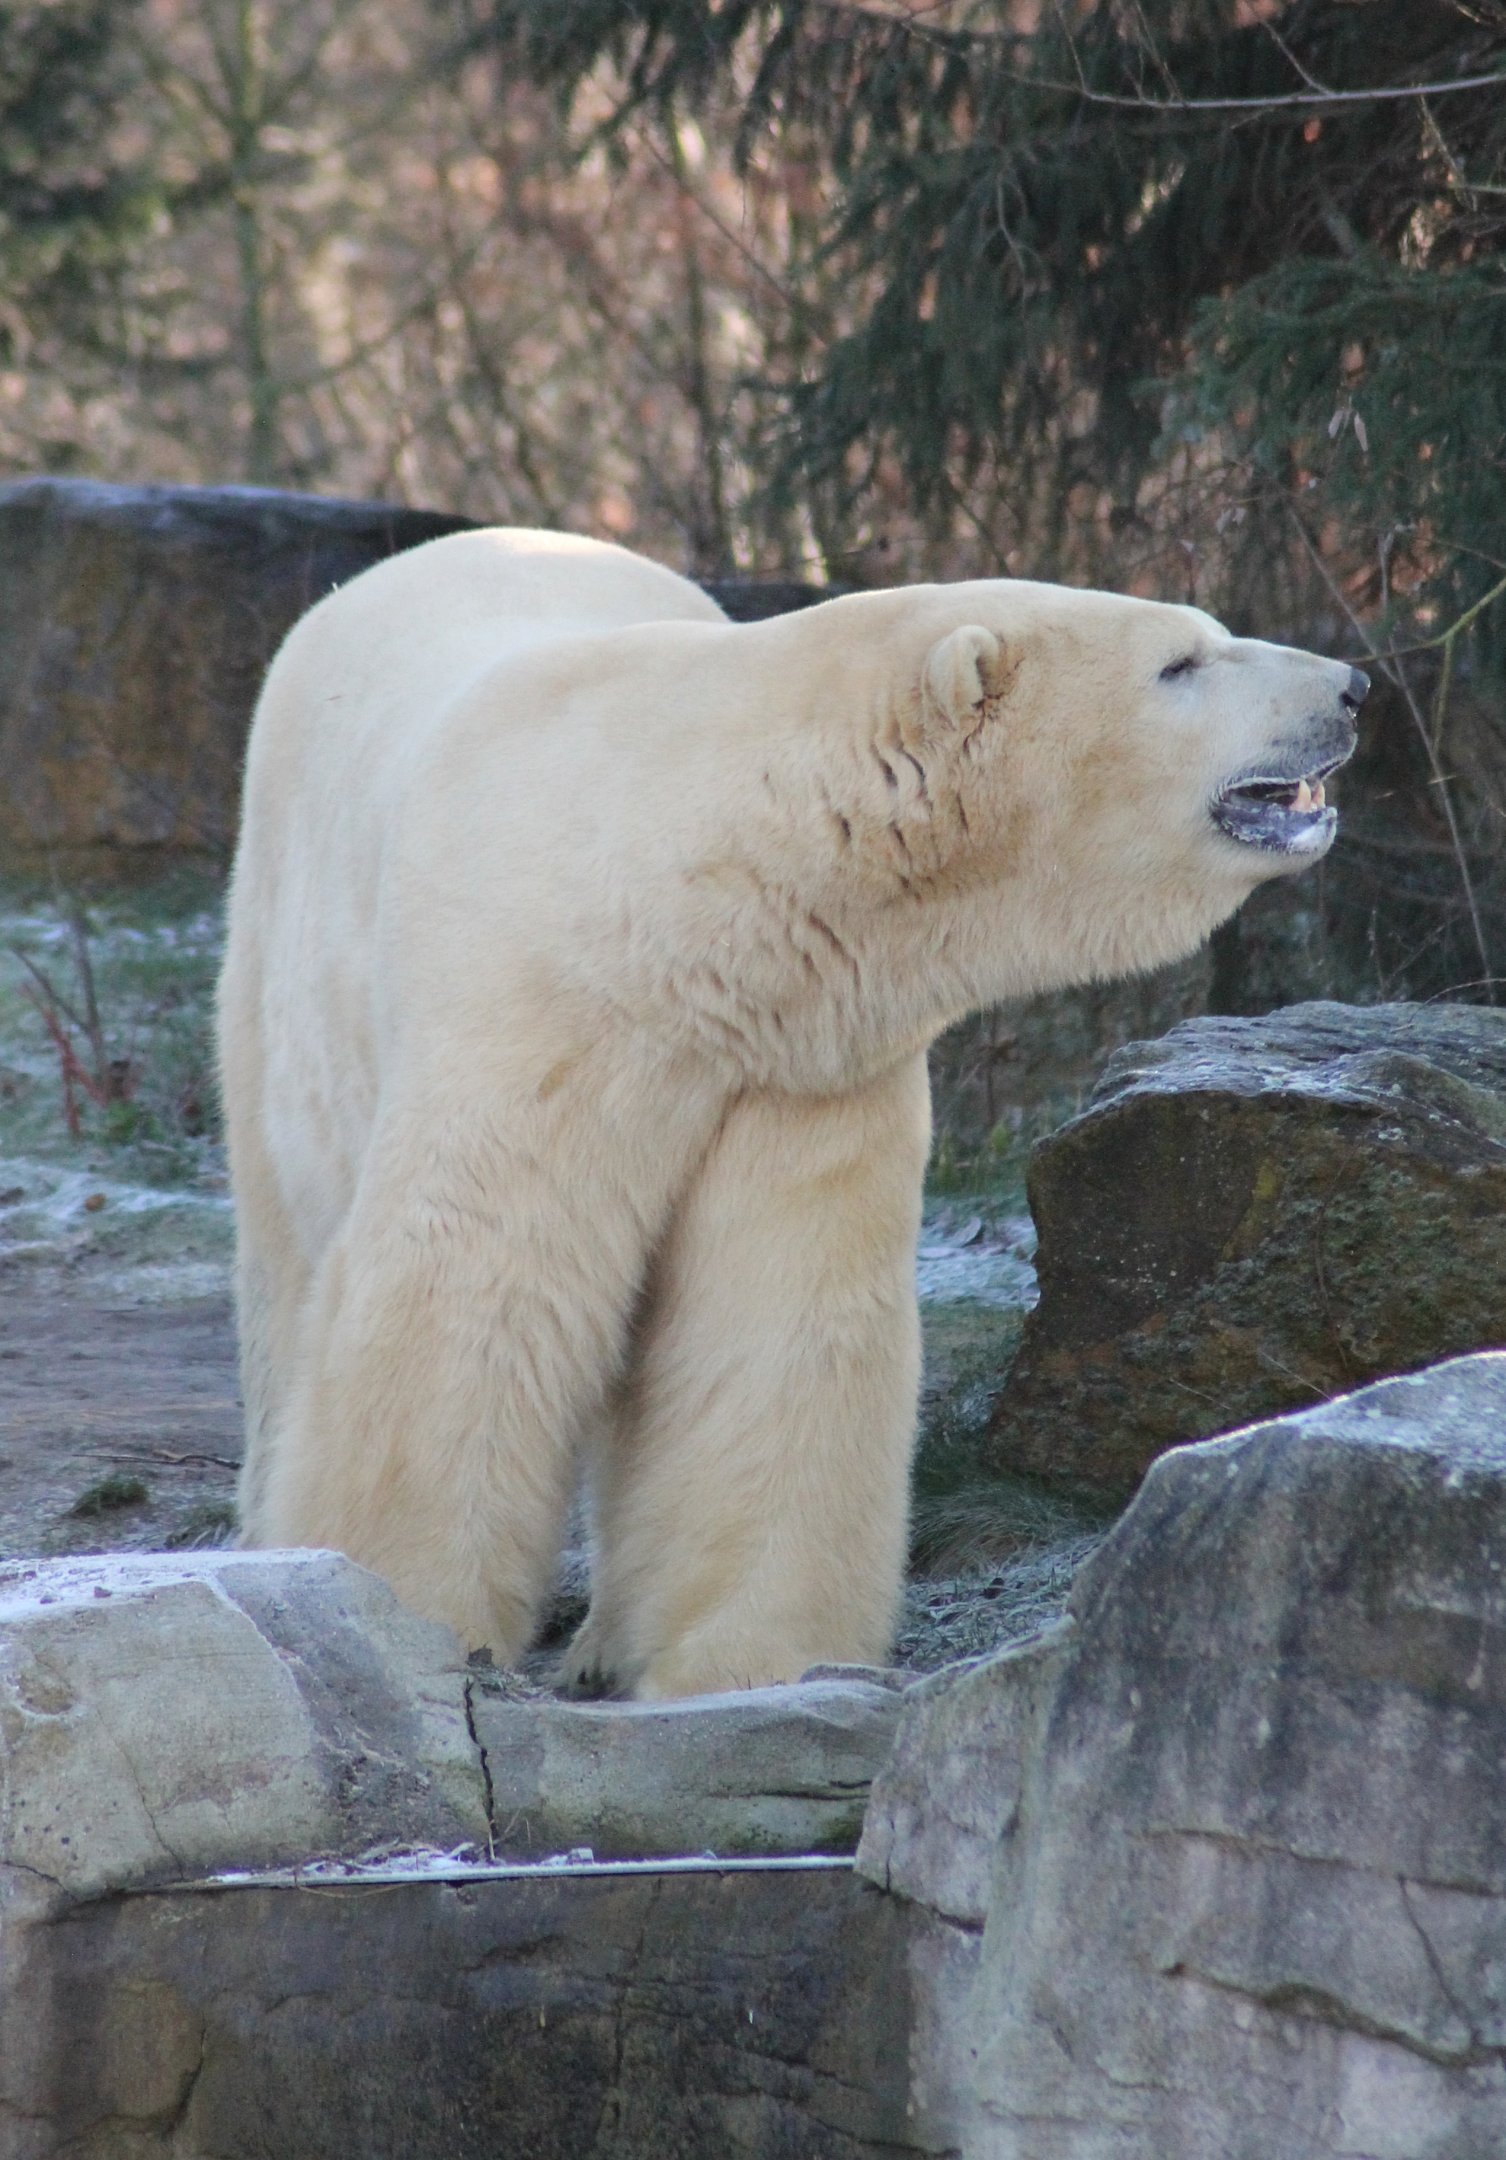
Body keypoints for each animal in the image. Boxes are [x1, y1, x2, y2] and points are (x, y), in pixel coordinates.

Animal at [219, 527, 1364, 1699]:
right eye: (1181, 662)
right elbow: (475, 1272)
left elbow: (777, 1313)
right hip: (275, 949)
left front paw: (752, 1659)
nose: (1352, 688)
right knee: (285, 1248)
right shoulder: (539, 1002)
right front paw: (407, 1608)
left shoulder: (797, 1048)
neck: (688, 882)